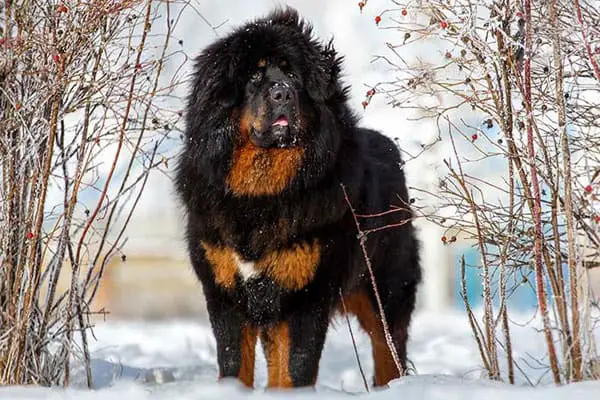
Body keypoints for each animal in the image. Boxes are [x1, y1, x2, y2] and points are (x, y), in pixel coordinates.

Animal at [176, 7, 420, 390]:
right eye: (255, 76)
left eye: (292, 74)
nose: (282, 93)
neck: (261, 194)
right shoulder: (225, 291)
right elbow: (235, 364)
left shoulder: (306, 294)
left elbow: (297, 367)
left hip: (385, 291)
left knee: (388, 353)